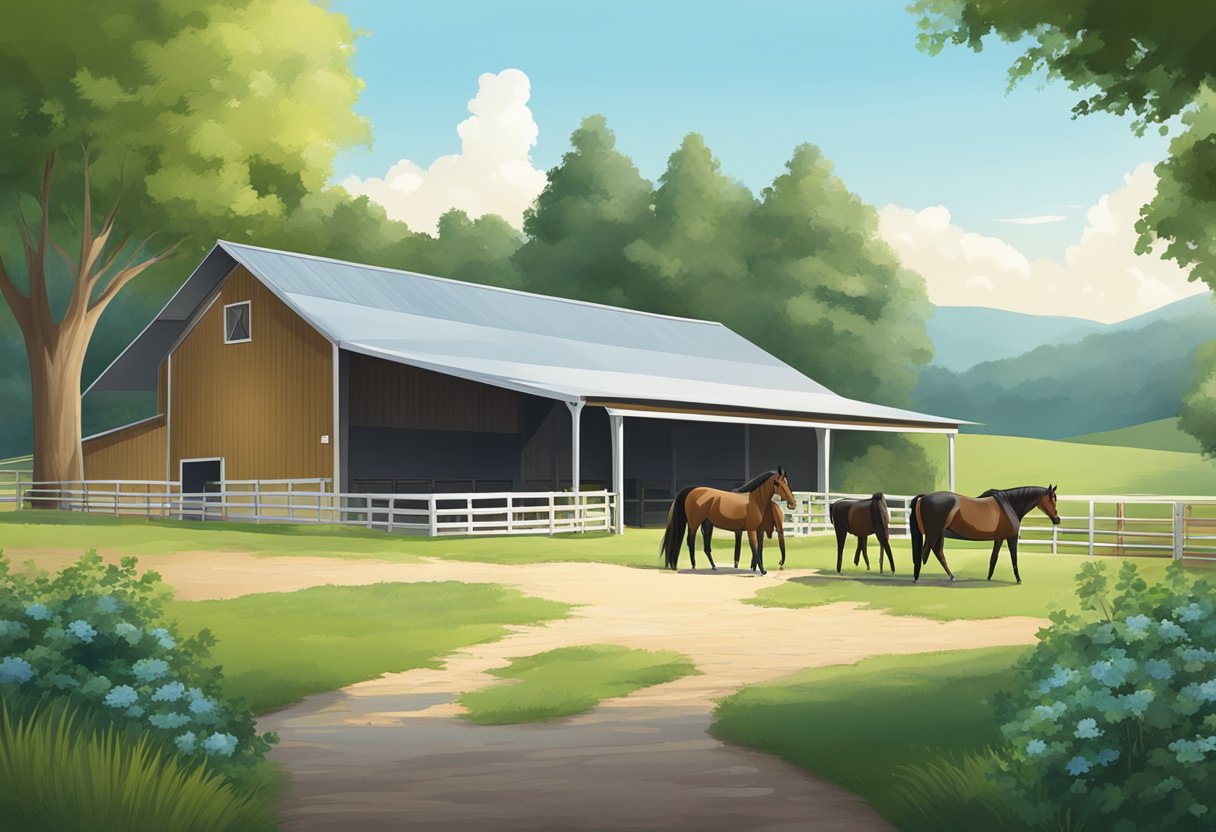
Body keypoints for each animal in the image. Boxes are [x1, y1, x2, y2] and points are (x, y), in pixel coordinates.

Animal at [656, 467, 797, 578]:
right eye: (777, 483)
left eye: (786, 482)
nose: (792, 504)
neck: (755, 500)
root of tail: (693, 490)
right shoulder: (751, 530)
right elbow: (755, 548)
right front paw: (762, 571)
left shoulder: (759, 530)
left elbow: (759, 549)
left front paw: (758, 569)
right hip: (694, 523)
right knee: (690, 542)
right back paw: (694, 566)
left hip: (707, 524)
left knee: (706, 547)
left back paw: (713, 566)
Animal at [909, 481, 1060, 583]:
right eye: (1052, 499)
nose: (1057, 519)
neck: (1009, 504)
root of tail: (923, 497)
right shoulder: (1011, 537)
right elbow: (1014, 559)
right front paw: (1018, 579)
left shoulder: (999, 538)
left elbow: (993, 558)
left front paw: (988, 577)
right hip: (933, 533)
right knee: (925, 552)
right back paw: (917, 579)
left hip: (937, 534)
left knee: (938, 553)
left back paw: (951, 577)